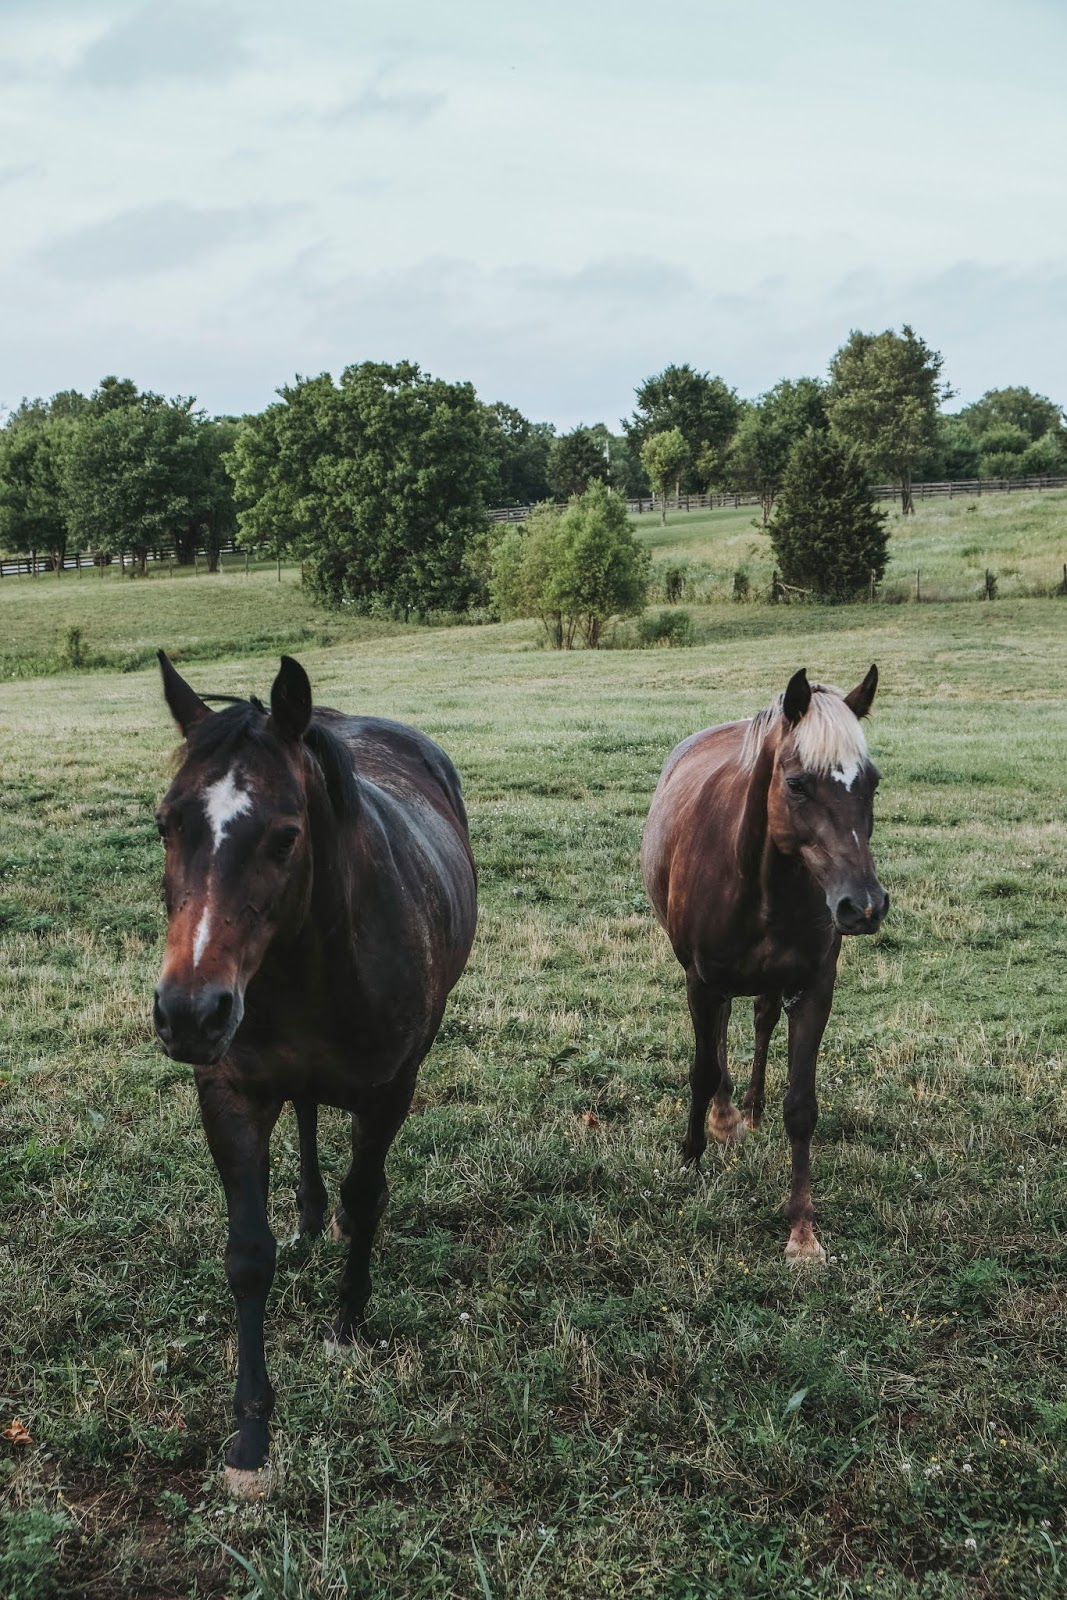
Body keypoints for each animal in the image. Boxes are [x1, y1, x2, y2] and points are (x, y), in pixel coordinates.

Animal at [153, 653, 477, 1496]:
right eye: (165, 823)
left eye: (285, 835)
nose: (189, 1013)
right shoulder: (228, 1092)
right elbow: (247, 1255)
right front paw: (250, 1431)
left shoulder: (389, 1091)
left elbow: (365, 1200)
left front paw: (348, 1321)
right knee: (302, 1110)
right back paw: (305, 1209)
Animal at [641, 666, 887, 1263]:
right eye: (797, 784)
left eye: (872, 783)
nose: (864, 905)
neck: (760, 885)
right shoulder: (702, 982)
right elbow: (703, 1069)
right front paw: (692, 1155)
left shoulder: (815, 988)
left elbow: (801, 1107)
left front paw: (802, 1233)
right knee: (723, 1035)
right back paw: (726, 1117)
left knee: (759, 1022)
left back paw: (749, 1109)